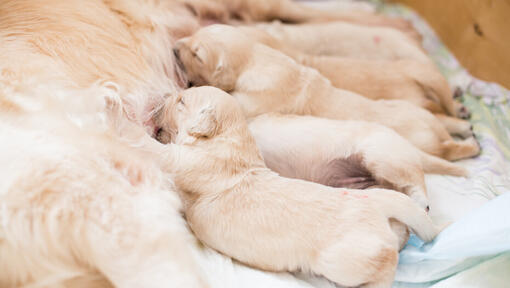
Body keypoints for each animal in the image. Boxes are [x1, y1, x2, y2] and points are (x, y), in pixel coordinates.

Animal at [155, 85, 442, 288]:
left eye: (181, 101)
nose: (164, 96)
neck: (231, 138)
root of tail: (377, 204)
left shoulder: (185, 161)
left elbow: (160, 151)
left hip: (347, 249)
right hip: (374, 192)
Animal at [172, 24, 478, 161]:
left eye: (197, 54)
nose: (173, 47)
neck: (257, 57)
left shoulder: (254, 98)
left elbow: (228, 99)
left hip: (428, 142)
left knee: (449, 148)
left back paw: (471, 146)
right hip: (419, 110)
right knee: (445, 118)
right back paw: (465, 125)